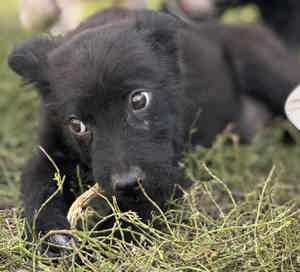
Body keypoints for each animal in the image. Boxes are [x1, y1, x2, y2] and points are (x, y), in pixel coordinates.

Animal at [8, 7, 300, 255]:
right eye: (76, 125)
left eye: (139, 100)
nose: (127, 184)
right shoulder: (50, 149)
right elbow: (37, 184)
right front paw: (51, 235)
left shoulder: (167, 171)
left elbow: (130, 220)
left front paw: (101, 241)